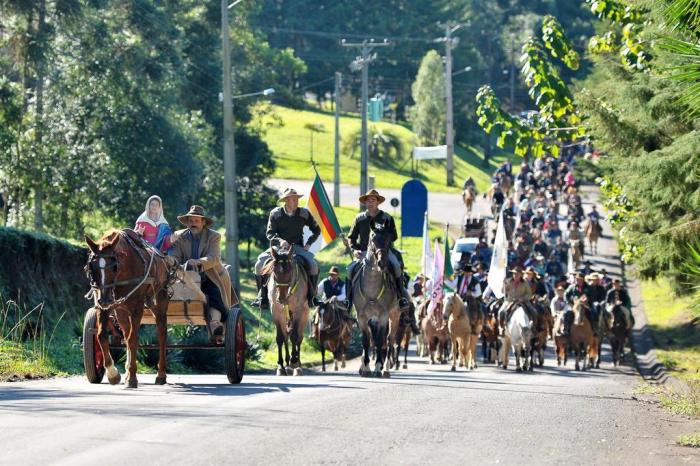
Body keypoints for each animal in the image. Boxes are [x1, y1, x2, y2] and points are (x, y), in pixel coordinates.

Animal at [85, 230, 173, 390]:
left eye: (114, 267)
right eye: (91, 267)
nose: (104, 299)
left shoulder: (137, 307)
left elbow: (133, 339)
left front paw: (132, 377)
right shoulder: (105, 307)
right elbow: (101, 335)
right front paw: (113, 374)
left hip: (160, 300)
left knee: (161, 333)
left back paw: (161, 374)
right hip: (122, 310)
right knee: (126, 333)